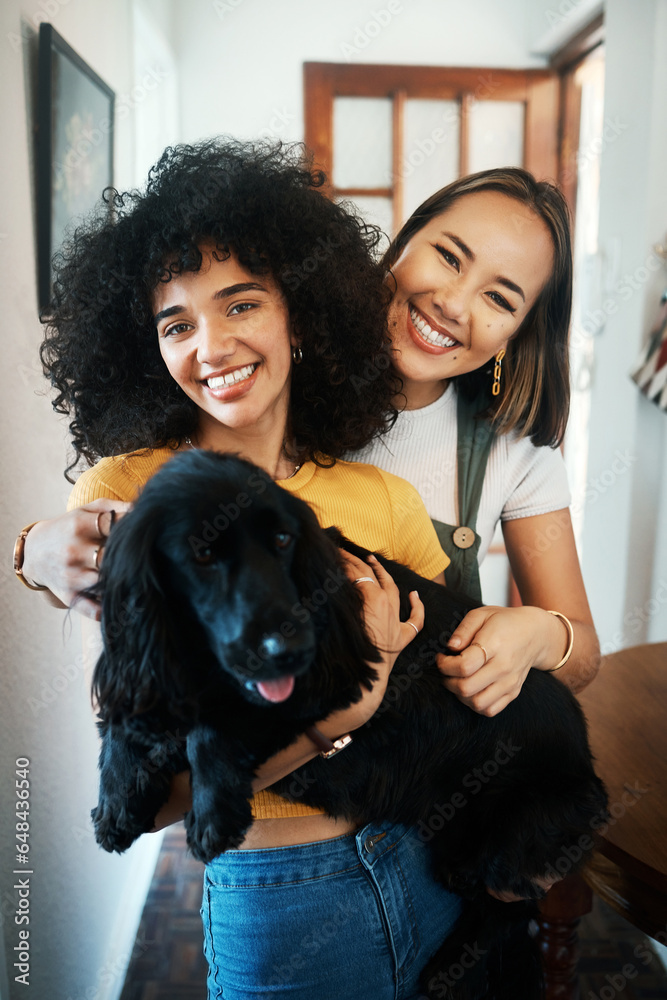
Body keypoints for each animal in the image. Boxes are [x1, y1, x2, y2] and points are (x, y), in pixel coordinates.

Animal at [91, 450, 608, 996]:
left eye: (283, 541)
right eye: (202, 555)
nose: (287, 646)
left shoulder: (323, 681)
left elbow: (209, 729)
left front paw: (212, 812)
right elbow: (127, 724)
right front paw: (116, 802)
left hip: (505, 841)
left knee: (511, 908)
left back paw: (447, 967)